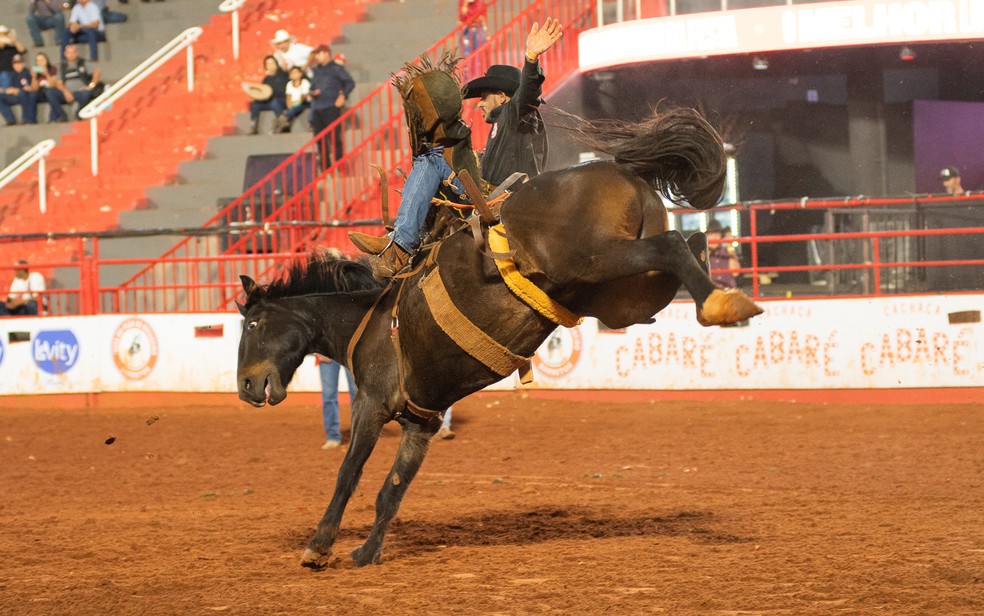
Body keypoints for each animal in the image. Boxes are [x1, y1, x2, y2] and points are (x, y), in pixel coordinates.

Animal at [236, 108, 760, 572]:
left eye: (253, 325)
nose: (245, 386)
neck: (371, 316)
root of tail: (620, 170)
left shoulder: (373, 403)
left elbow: (349, 475)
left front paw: (319, 546)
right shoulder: (420, 422)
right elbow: (392, 490)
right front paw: (367, 553)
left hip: (597, 259)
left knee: (671, 246)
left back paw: (722, 305)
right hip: (624, 296)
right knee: (688, 247)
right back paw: (726, 300)